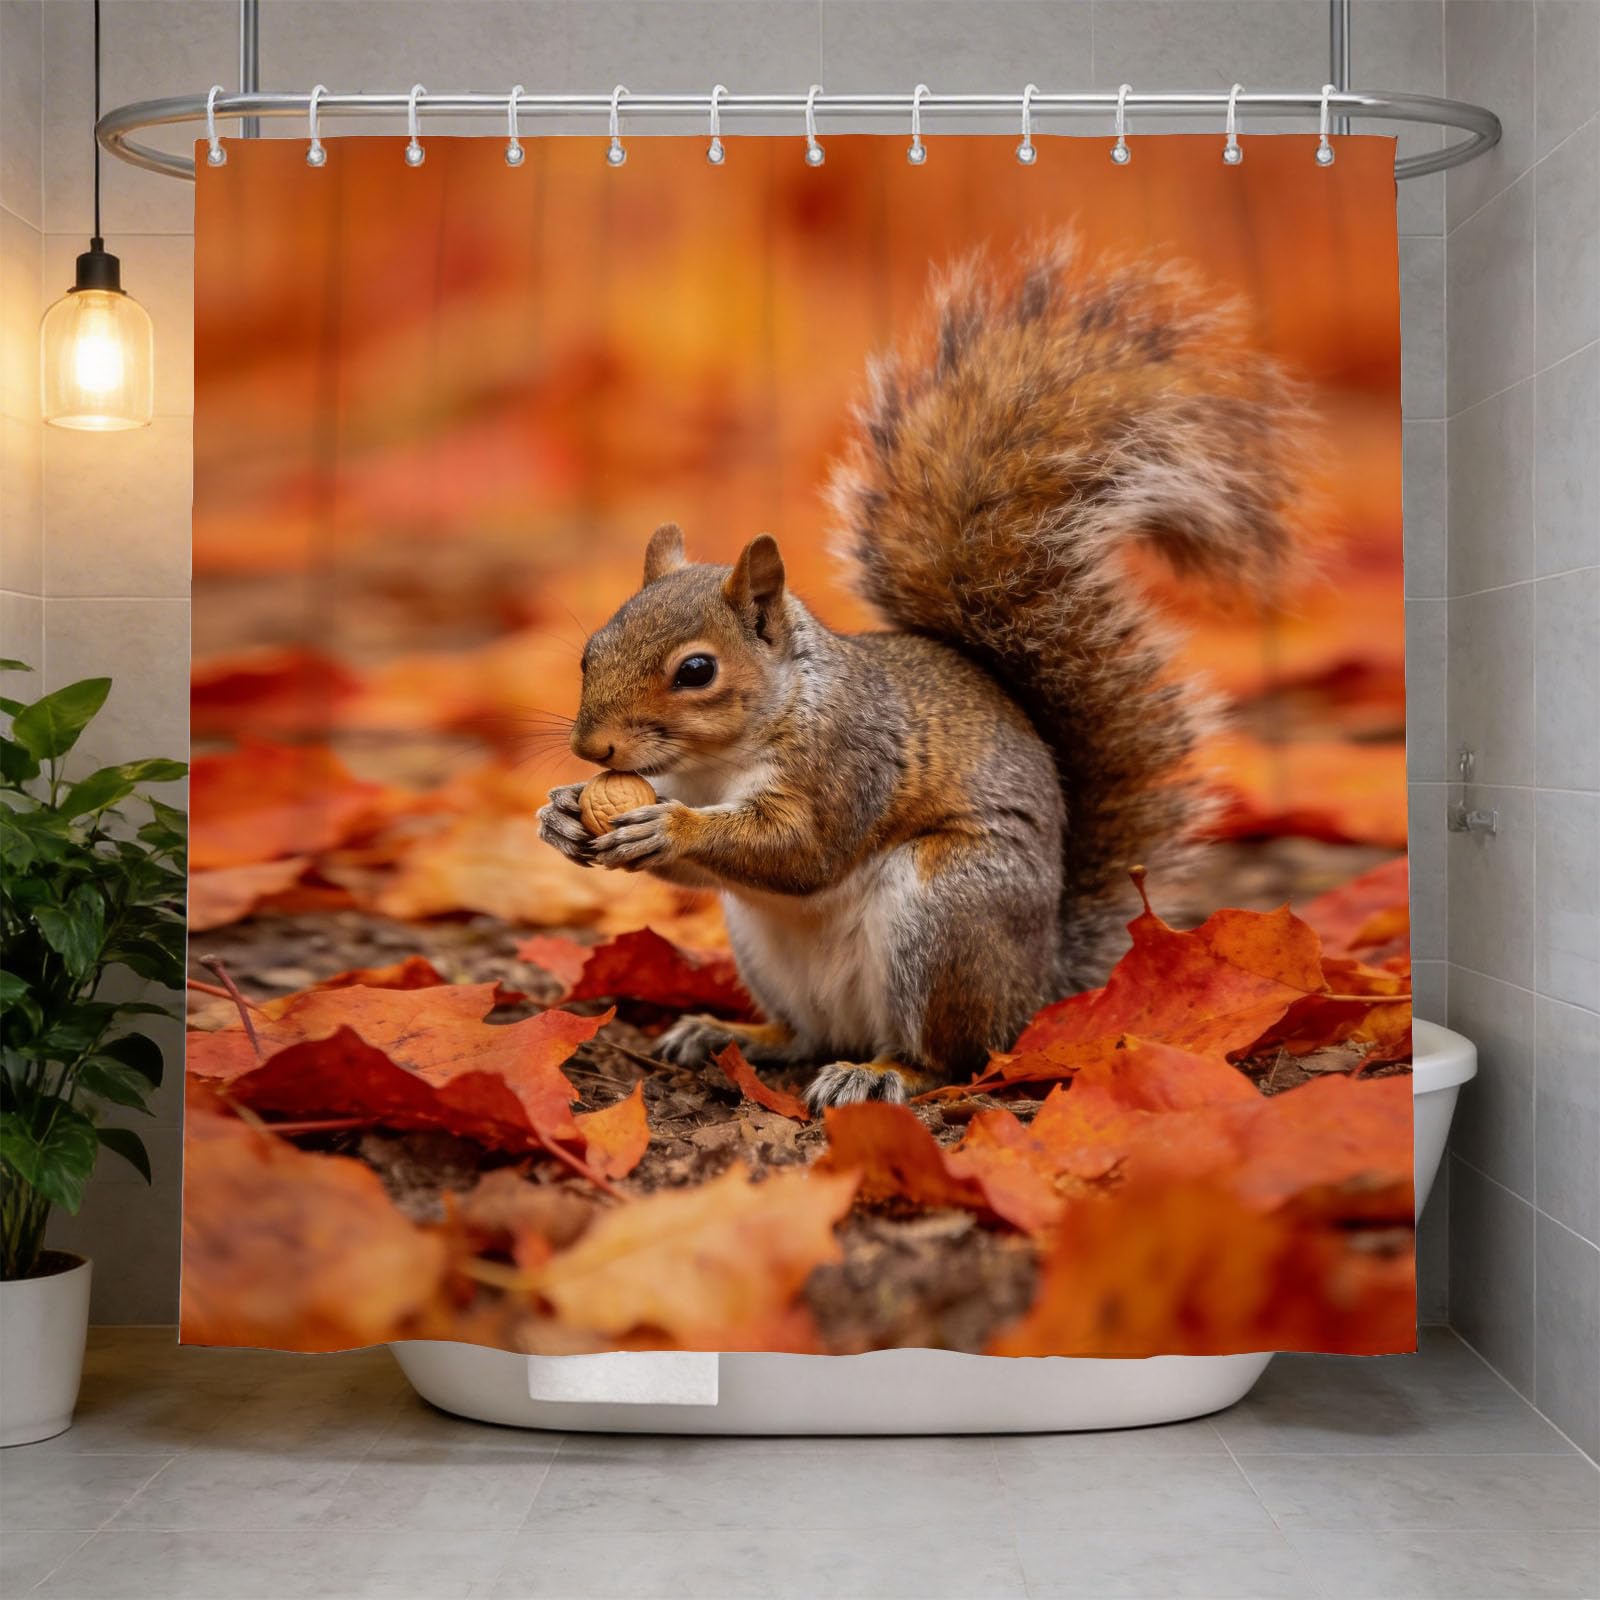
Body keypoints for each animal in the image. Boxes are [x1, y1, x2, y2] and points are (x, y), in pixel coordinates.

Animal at [537, 233, 1309, 1112]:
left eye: (696, 670)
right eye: (591, 650)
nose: (593, 751)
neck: (719, 761)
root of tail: (1036, 991)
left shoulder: (849, 762)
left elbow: (801, 850)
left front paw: (668, 827)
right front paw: (563, 815)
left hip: (946, 917)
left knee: (948, 1058)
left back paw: (878, 1074)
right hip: (766, 949)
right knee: (803, 1034)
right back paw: (730, 1033)